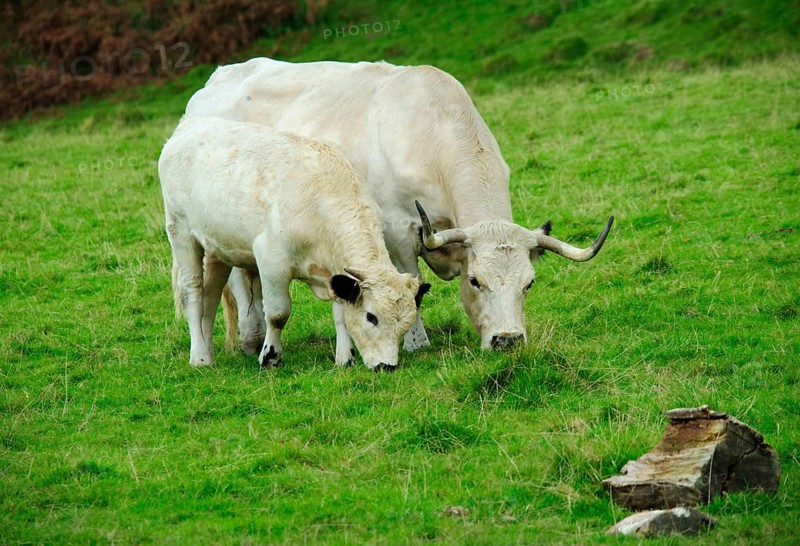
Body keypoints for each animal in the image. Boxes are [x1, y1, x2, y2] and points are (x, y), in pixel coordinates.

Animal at [158, 116, 429, 370]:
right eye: (372, 317)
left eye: (404, 325)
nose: (387, 366)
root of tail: (190, 123)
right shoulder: (271, 262)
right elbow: (278, 313)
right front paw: (269, 357)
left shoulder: (334, 272)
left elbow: (340, 313)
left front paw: (345, 358)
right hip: (180, 232)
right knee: (193, 293)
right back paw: (199, 357)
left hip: (218, 248)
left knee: (210, 298)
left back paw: (207, 351)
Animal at [185, 58, 612, 351]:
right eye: (476, 280)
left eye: (529, 283)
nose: (507, 340)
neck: (431, 133)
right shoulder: (397, 228)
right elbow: (413, 281)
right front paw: (416, 341)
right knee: (240, 280)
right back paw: (251, 339)